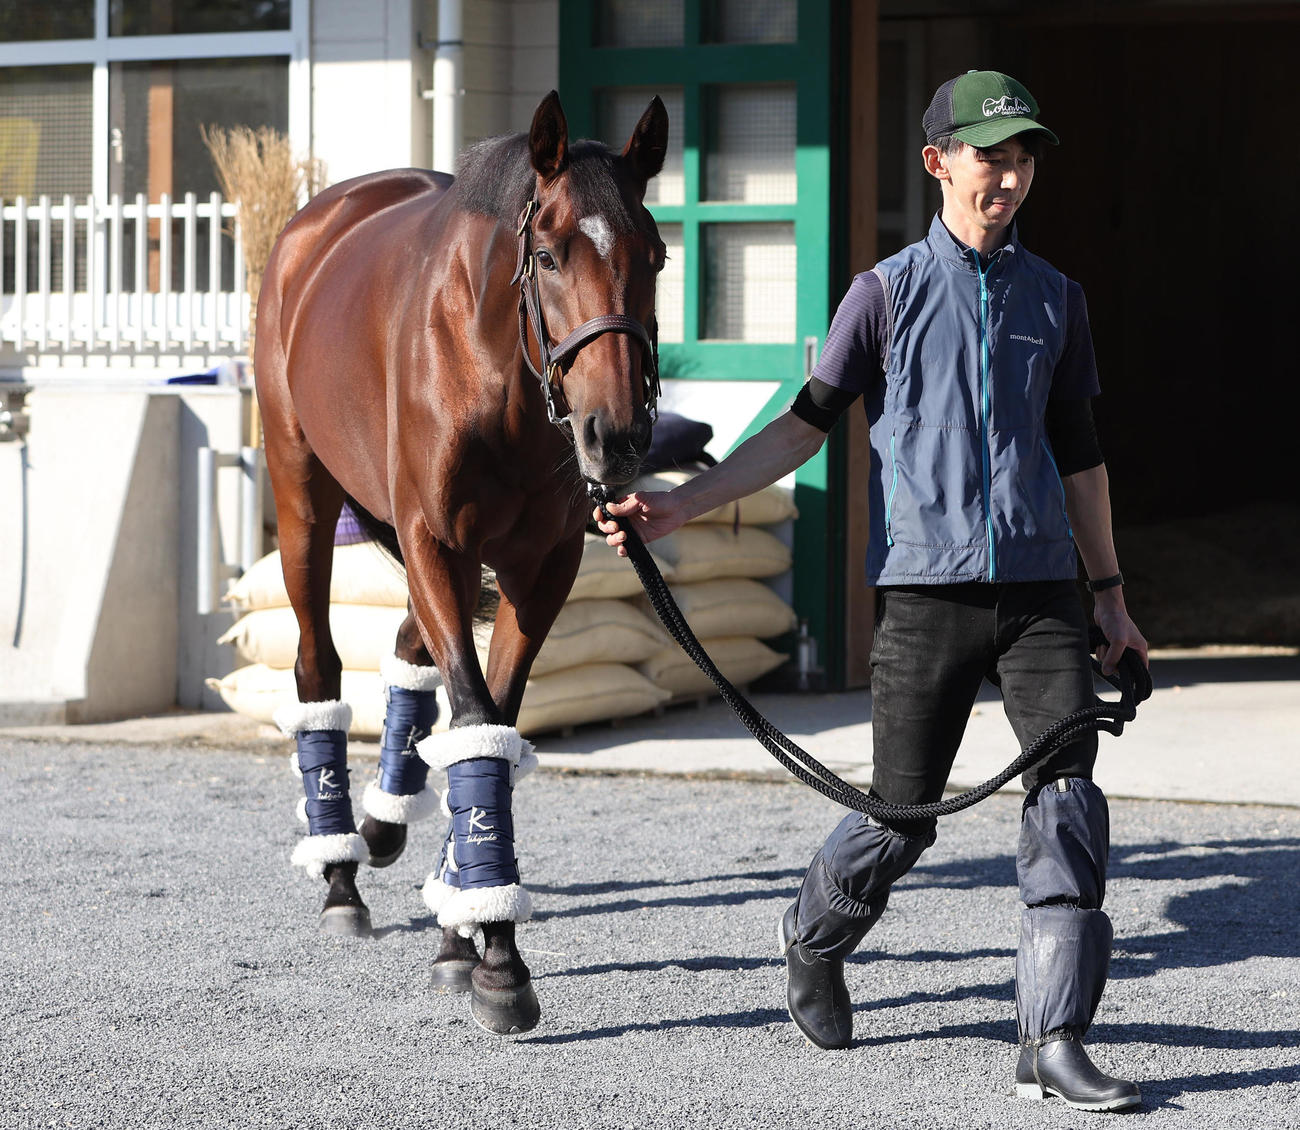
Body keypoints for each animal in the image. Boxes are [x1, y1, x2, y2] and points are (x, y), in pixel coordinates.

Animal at [253, 90, 668, 1034]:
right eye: (547, 254)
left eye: (657, 257)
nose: (619, 437)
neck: (497, 373)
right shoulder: (436, 543)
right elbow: (477, 714)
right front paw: (497, 958)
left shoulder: (539, 565)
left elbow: (492, 721)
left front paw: (467, 925)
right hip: (304, 499)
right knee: (317, 664)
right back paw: (340, 870)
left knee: (411, 652)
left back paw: (388, 831)